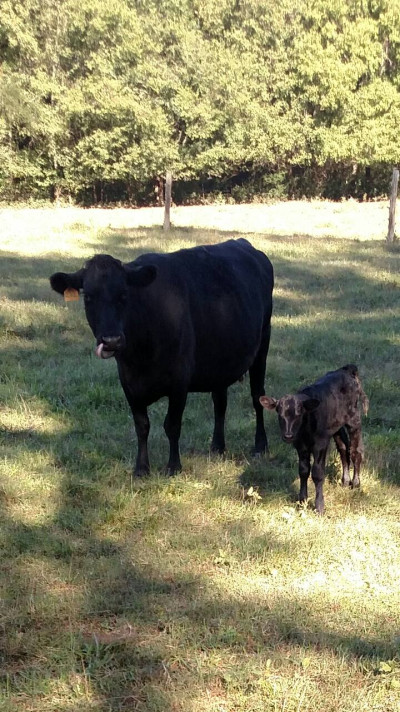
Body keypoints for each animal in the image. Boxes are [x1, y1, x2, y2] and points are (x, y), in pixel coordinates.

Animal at [50, 239, 274, 478]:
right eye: (88, 297)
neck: (140, 356)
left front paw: (173, 466)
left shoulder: (180, 380)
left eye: (124, 295)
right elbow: (142, 425)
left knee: (257, 396)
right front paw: (141, 468)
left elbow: (172, 425)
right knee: (220, 402)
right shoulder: (128, 382)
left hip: (263, 343)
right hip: (220, 361)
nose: (111, 340)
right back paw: (217, 447)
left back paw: (260, 446)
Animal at [260, 368, 368, 512]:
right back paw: (345, 481)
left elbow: (317, 473)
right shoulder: (300, 445)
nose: (288, 435)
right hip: (336, 427)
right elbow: (303, 470)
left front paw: (319, 506)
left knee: (356, 451)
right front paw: (302, 501)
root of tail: (345, 369)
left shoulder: (321, 444)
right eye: (280, 414)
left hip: (354, 419)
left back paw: (355, 484)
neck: (306, 431)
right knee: (344, 448)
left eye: (299, 414)